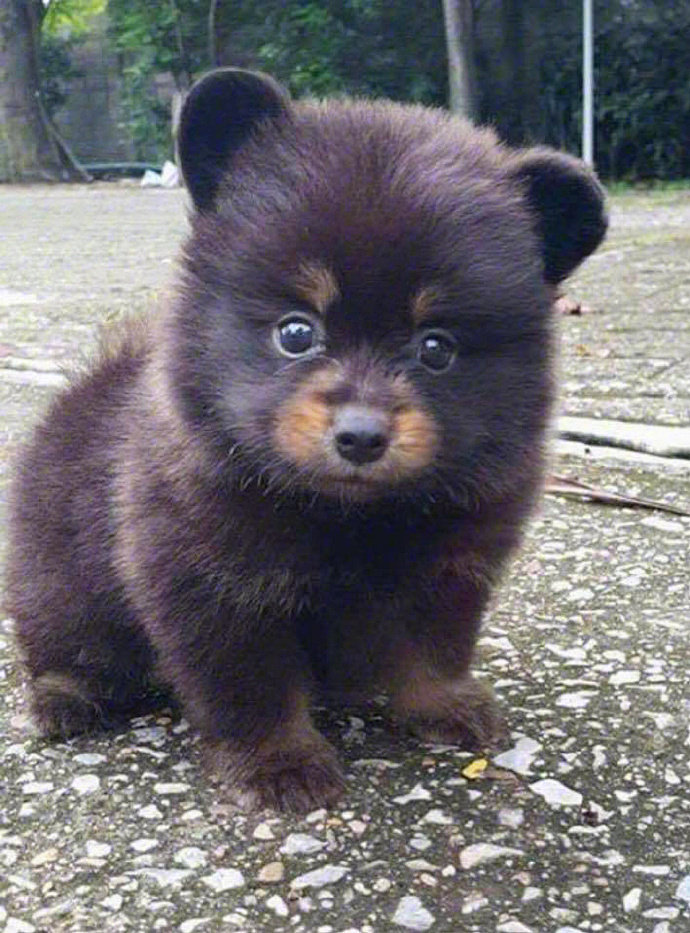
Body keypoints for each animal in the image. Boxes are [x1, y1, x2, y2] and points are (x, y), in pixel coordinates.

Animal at [6, 68, 607, 812]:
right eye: (296, 332)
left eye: (437, 347)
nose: (361, 436)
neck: (348, 513)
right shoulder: (214, 584)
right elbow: (252, 686)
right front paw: (279, 762)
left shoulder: (450, 568)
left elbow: (434, 649)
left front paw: (445, 706)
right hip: (59, 584)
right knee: (68, 647)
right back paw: (65, 699)